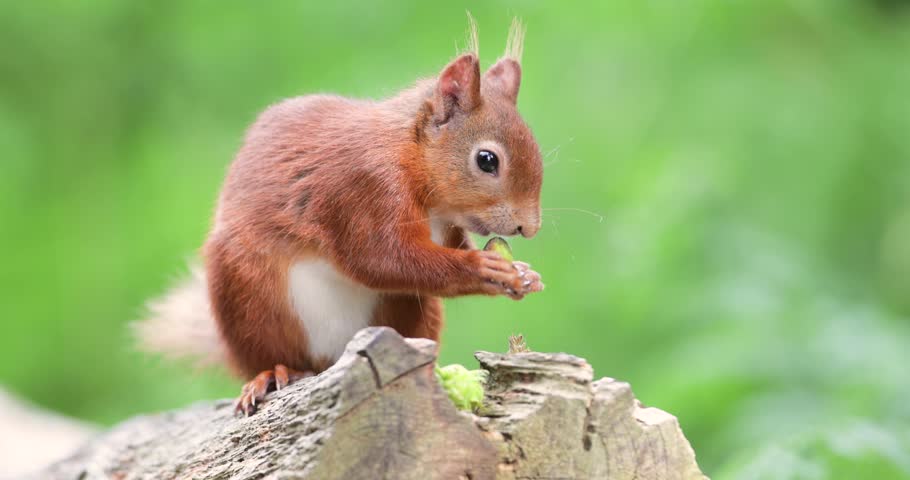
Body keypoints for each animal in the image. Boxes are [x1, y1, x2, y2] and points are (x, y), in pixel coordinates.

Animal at [137, 19, 544, 416]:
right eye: (487, 160)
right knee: (267, 355)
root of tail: (330, 358)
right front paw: (484, 268)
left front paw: (525, 275)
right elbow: (382, 259)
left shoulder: (446, 228)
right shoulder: (362, 190)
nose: (529, 227)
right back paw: (271, 374)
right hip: (246, 296)